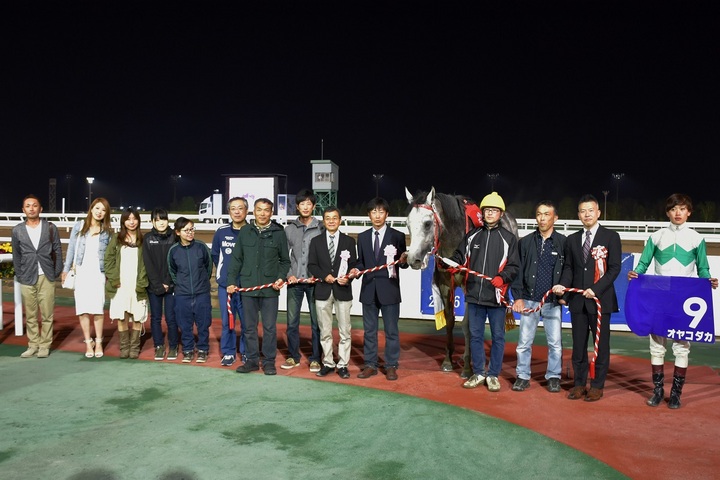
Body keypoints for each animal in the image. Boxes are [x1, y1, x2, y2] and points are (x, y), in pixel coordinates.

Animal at [405, 186, 519, 377]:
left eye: (427, 223)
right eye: (407, 223)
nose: (413, 259)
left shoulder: (469, 288)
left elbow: (467, 324)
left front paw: (467, 366)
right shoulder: (445, 285)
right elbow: (450, 320)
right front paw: (448, 360)